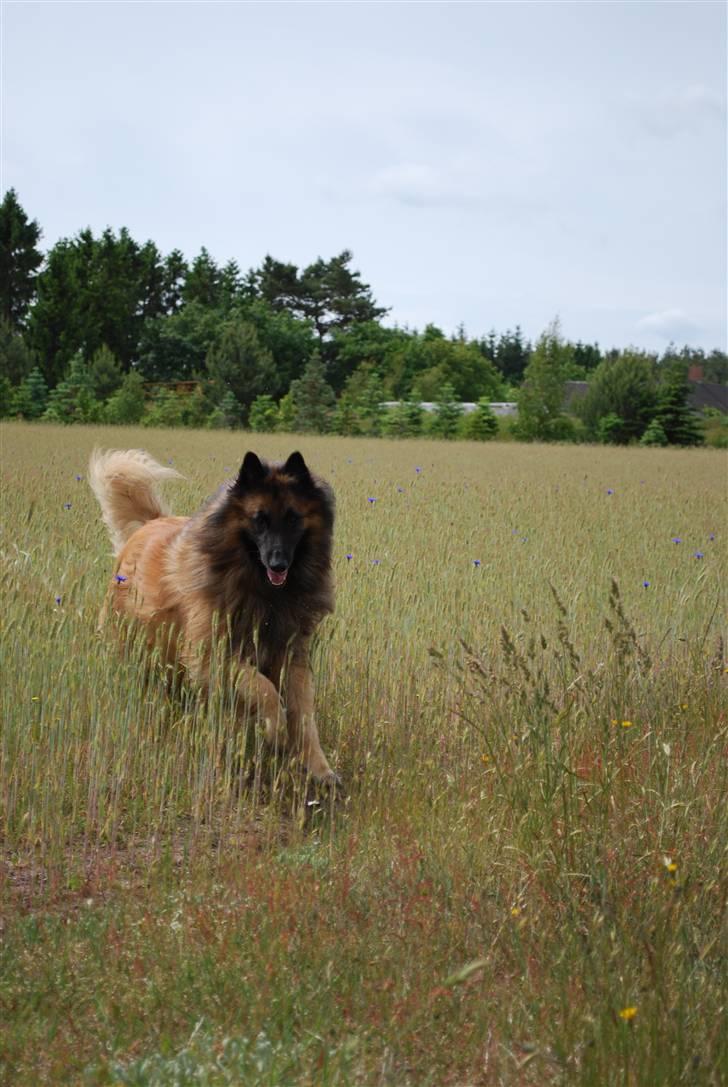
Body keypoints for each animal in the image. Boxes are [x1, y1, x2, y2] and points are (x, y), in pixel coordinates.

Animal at [89, 445, 339, 786]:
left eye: (292, 519)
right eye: (259, 519)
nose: (278, 564)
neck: (260, 589)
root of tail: (149, 525)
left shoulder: (290, 656)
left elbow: (303, 714)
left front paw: (320, 770)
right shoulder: (213, 657)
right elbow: (264, 689)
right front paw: (275, 731)